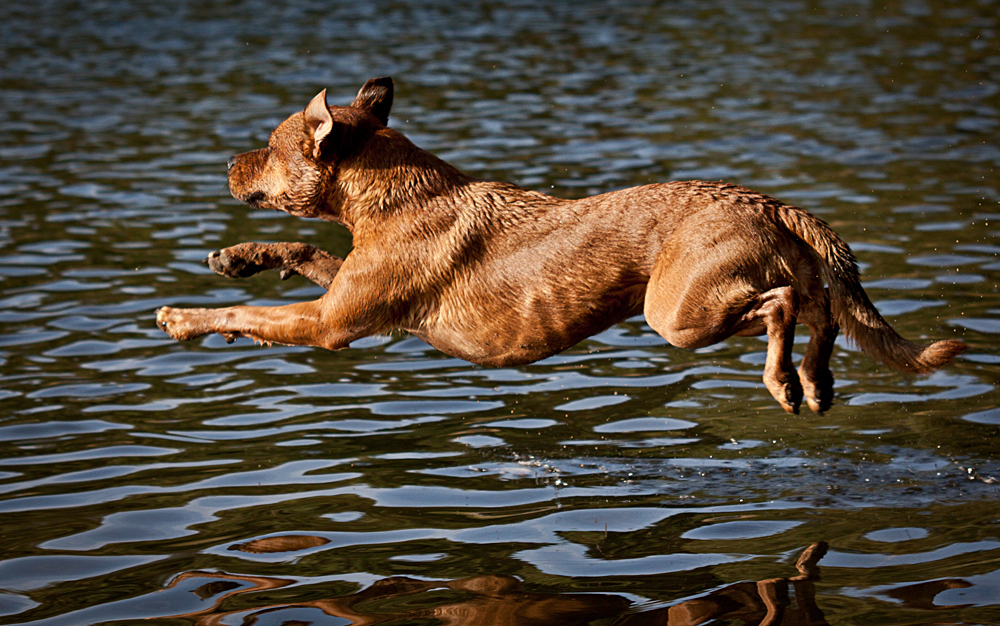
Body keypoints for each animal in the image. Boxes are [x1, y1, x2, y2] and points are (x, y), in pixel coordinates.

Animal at [158, 75, 968, 412]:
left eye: (267, 148)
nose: (226, 163)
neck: (390, 196)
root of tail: (767, 201)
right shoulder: (351, 292)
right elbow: (301, 255)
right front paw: (239, 258)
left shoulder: (330, 325)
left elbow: (246, 318)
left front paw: (183, 318)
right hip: (747, 289)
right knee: (823, 309)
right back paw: (816, 382)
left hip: (676, 313)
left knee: (782, 305)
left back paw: (785, 382)